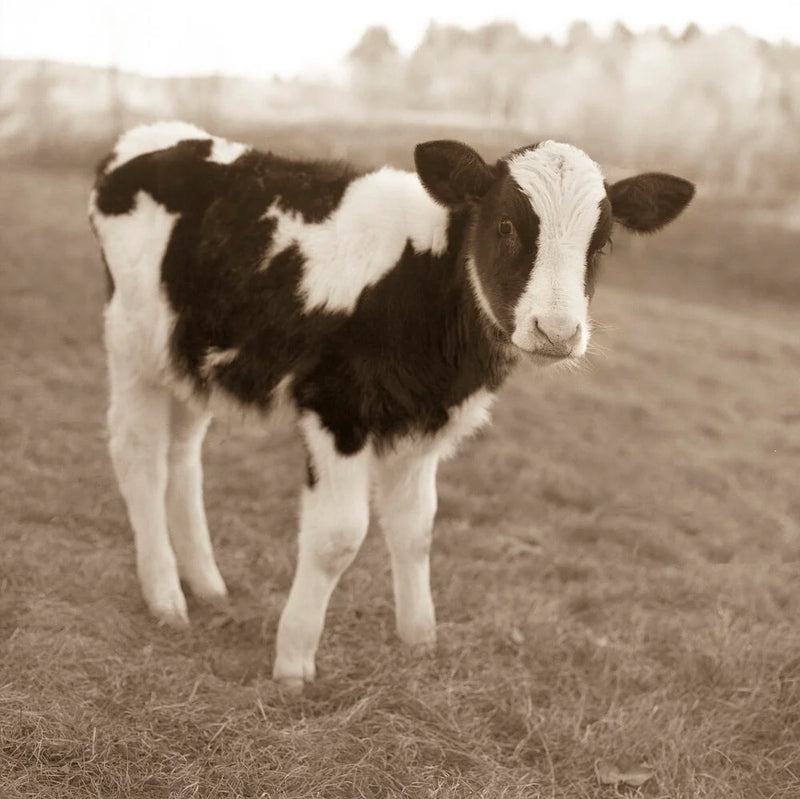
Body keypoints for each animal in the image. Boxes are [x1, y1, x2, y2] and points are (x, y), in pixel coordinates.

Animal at [88, 121, 694, 689]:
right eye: (506, 226)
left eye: (602, 245)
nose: (559, 331)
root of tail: (150, 137)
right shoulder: (339, 409)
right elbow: (336, 538)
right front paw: (293, 660)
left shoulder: (424, 421)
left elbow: (417, 528)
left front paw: (419, 640)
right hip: (133, 342)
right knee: (139, 456)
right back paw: (166, 594)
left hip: (189, 360)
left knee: (183, 456)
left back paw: (206, 583)